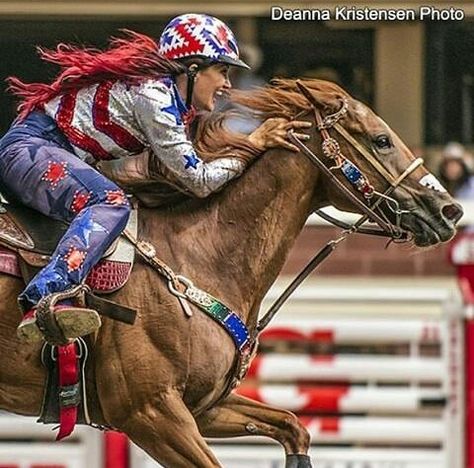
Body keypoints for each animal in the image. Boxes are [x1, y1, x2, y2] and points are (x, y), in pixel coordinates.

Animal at [0, 78, 464, 466]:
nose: (450, 210)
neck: (198, 255)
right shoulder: (150, 412)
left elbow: (293, 427)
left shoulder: (204, 407)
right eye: (381, 140)